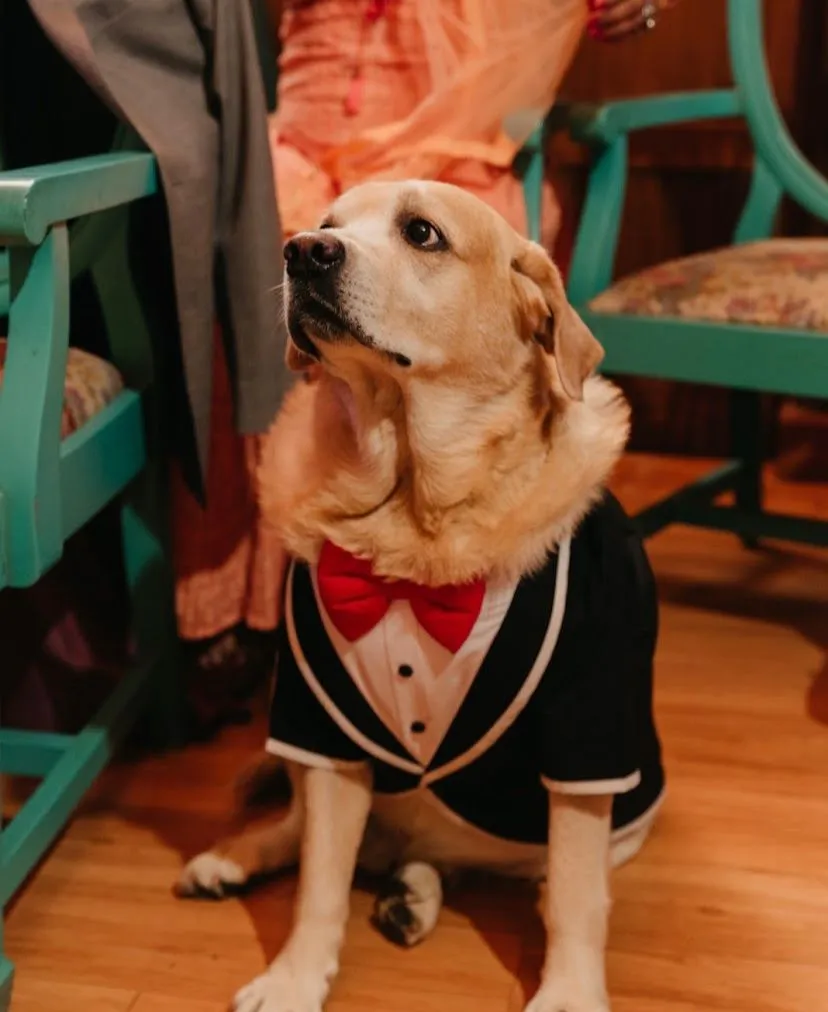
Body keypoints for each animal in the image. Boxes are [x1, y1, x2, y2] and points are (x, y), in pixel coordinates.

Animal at [176, 182, 664, 1011]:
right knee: (303, 826)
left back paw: (413, 892)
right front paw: (295, 977)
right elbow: (319, 884)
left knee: (513, 873)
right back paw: (239, 859)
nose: (302, 251)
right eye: (329, 226)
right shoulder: (320, 721)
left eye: (422, 233)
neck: (412, 516)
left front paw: (569, 991)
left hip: (616, 827)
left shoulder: (587, 730)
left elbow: (574, 898)